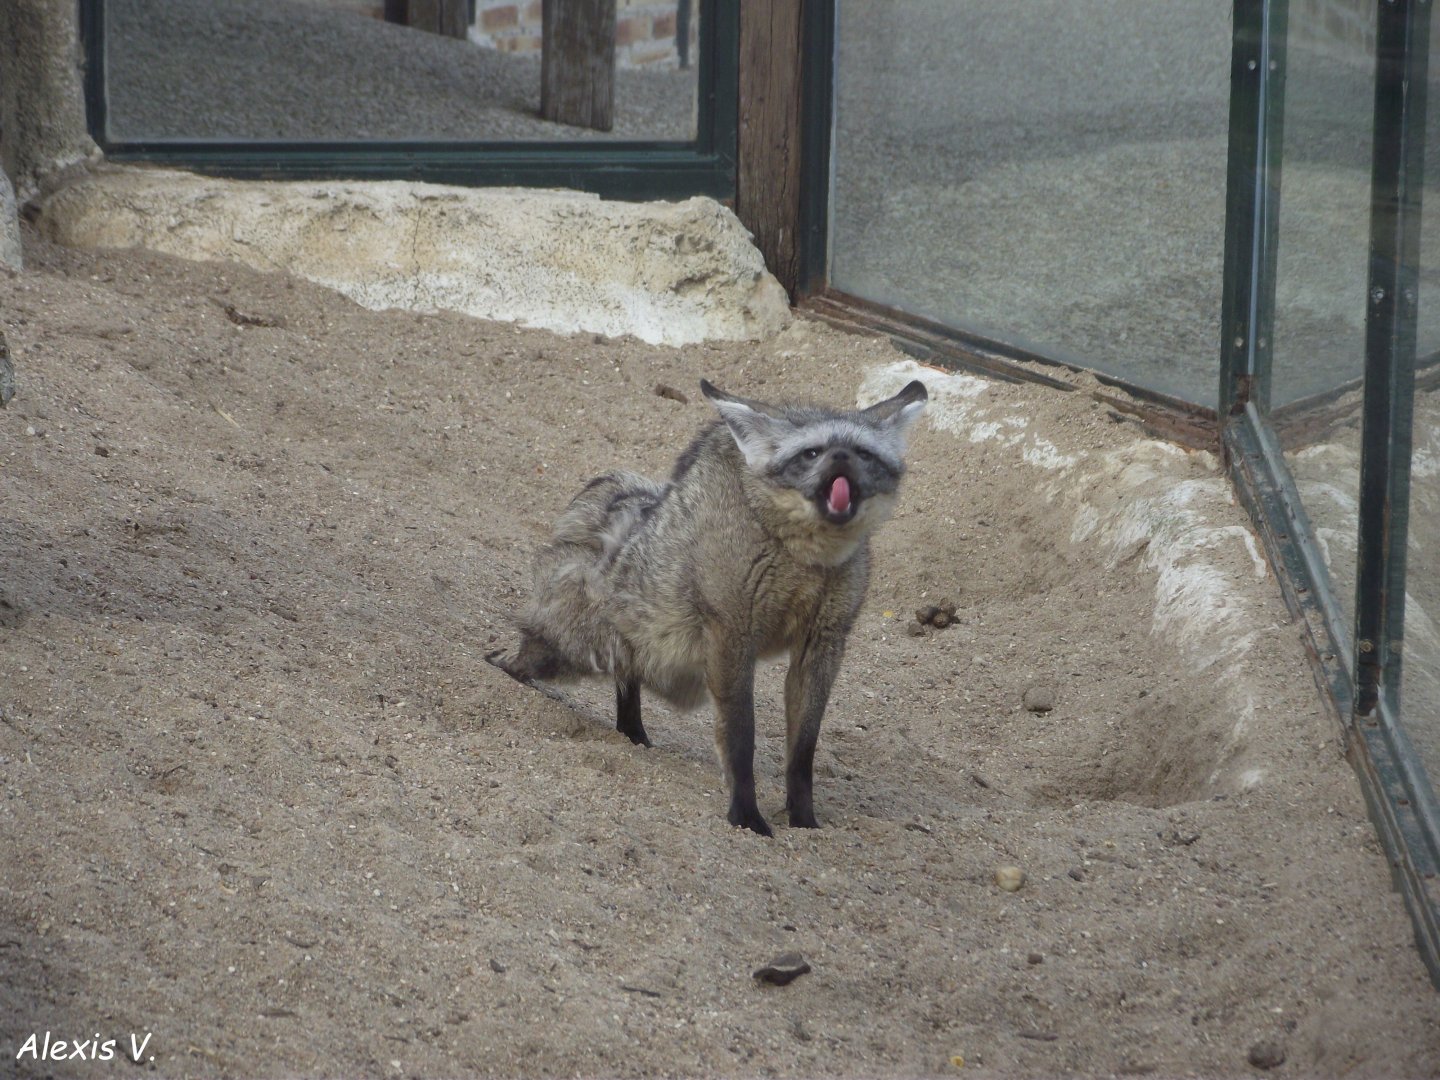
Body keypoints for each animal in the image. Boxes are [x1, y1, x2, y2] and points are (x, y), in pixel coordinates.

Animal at [487, 377, 928, 836]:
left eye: (862, 453)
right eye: (812, 452)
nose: (841, 457)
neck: (805, 560)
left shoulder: (823, 642)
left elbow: (803, 750)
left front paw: (803, 819)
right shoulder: (731, 633)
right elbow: (740, 737)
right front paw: (746, 815)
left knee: (627, 682)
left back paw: (633, 735)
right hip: (572, 648)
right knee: (537, 658)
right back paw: (502, 666)